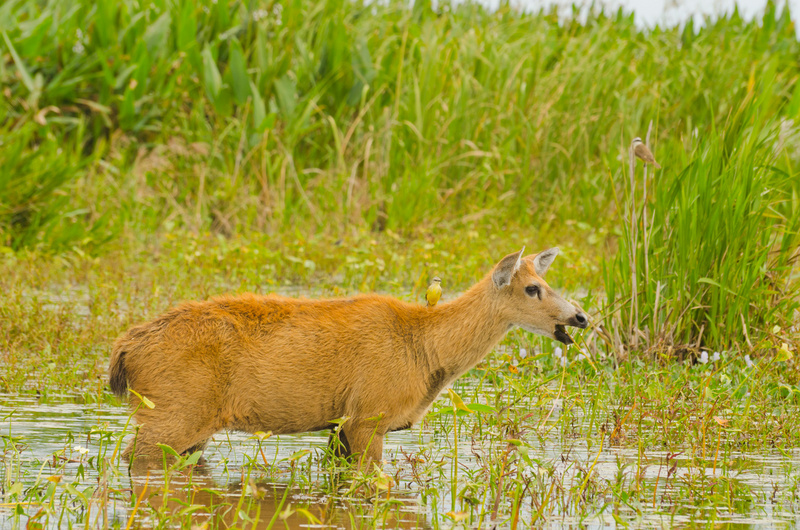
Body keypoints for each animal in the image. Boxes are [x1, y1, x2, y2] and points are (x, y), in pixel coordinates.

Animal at [109, 245, 588, 464]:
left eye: (546, 282)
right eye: (532, 288)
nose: (580, 317)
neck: (426, 350)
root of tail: (126, 349)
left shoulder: (341, 424)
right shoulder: (369, 415)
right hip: (173, 410)